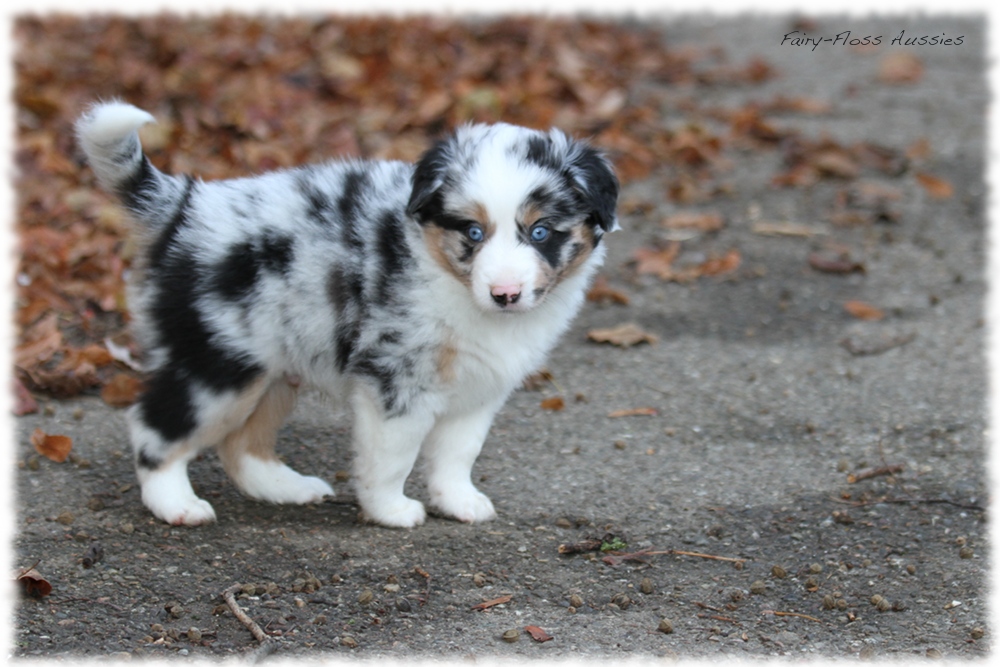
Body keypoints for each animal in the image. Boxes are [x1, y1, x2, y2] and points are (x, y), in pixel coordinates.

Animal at [74, 100, 616, 528]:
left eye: (541, 232)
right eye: (473, 232)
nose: (505, 293)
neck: (445, 272)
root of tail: (185, 205)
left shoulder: (479, 386)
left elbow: (458, 452)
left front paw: (459, 502)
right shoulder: (396, 379)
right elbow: (394, 456)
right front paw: (391, 510)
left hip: (273, 368)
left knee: (240, 446)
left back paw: (287, 488)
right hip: (218, 364)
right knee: (154, 427)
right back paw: (176, 504)